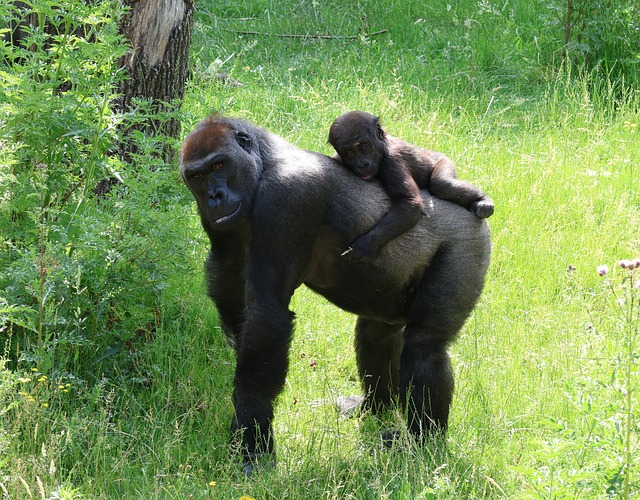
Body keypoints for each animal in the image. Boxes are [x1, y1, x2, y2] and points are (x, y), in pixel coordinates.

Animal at [330, 111, 496, 262]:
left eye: (364, 147)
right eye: (349, 153)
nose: (362, 164)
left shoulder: (392, 160)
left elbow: (410, 203)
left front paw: (369, 243)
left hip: (444, 160)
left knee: (442, 184)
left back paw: (483, 200)